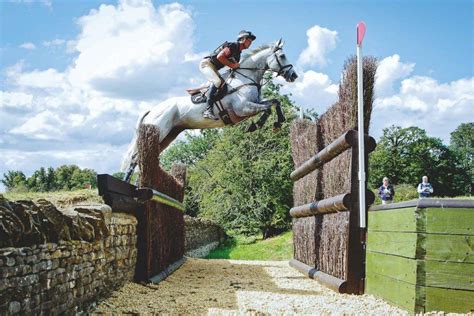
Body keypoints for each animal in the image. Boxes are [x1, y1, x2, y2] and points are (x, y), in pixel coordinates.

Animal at [122, 38, 300, 181]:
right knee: (135, 158)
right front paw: (256, 125)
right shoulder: (243, 109)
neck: (244, 79)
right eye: (282, 56)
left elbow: (275, 102)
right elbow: (267, 109)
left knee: (144, 157)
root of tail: (152, 109)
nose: (294, 76)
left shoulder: (254, 104)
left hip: (169, 135)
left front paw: (277, 124)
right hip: (159, 130)